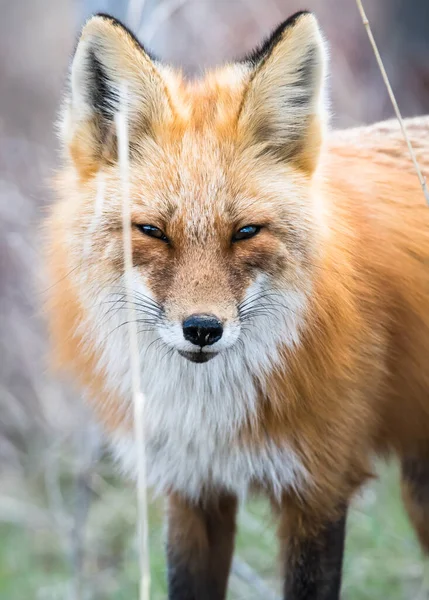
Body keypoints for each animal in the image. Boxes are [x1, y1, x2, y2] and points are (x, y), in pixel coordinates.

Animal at [44, 10, 429, 600]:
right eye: (152, 231)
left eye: (246, 232)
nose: (202, 329)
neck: (211, 415)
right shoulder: (192, 489)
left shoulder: (319, 486)